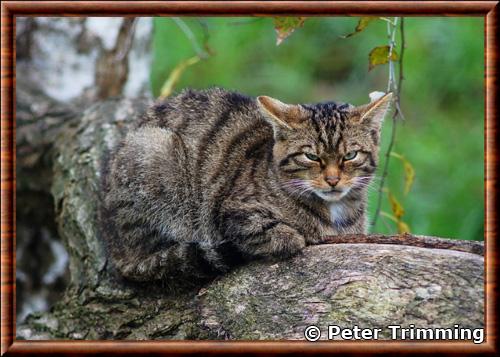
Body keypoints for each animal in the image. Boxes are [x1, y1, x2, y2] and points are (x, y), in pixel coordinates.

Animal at [99, 87, 392, 282]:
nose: (332, 180)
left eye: (350, 155)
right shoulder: (233, 212)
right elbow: (286, 235)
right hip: (155, 153)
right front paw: (298, 235)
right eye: (311, 156)